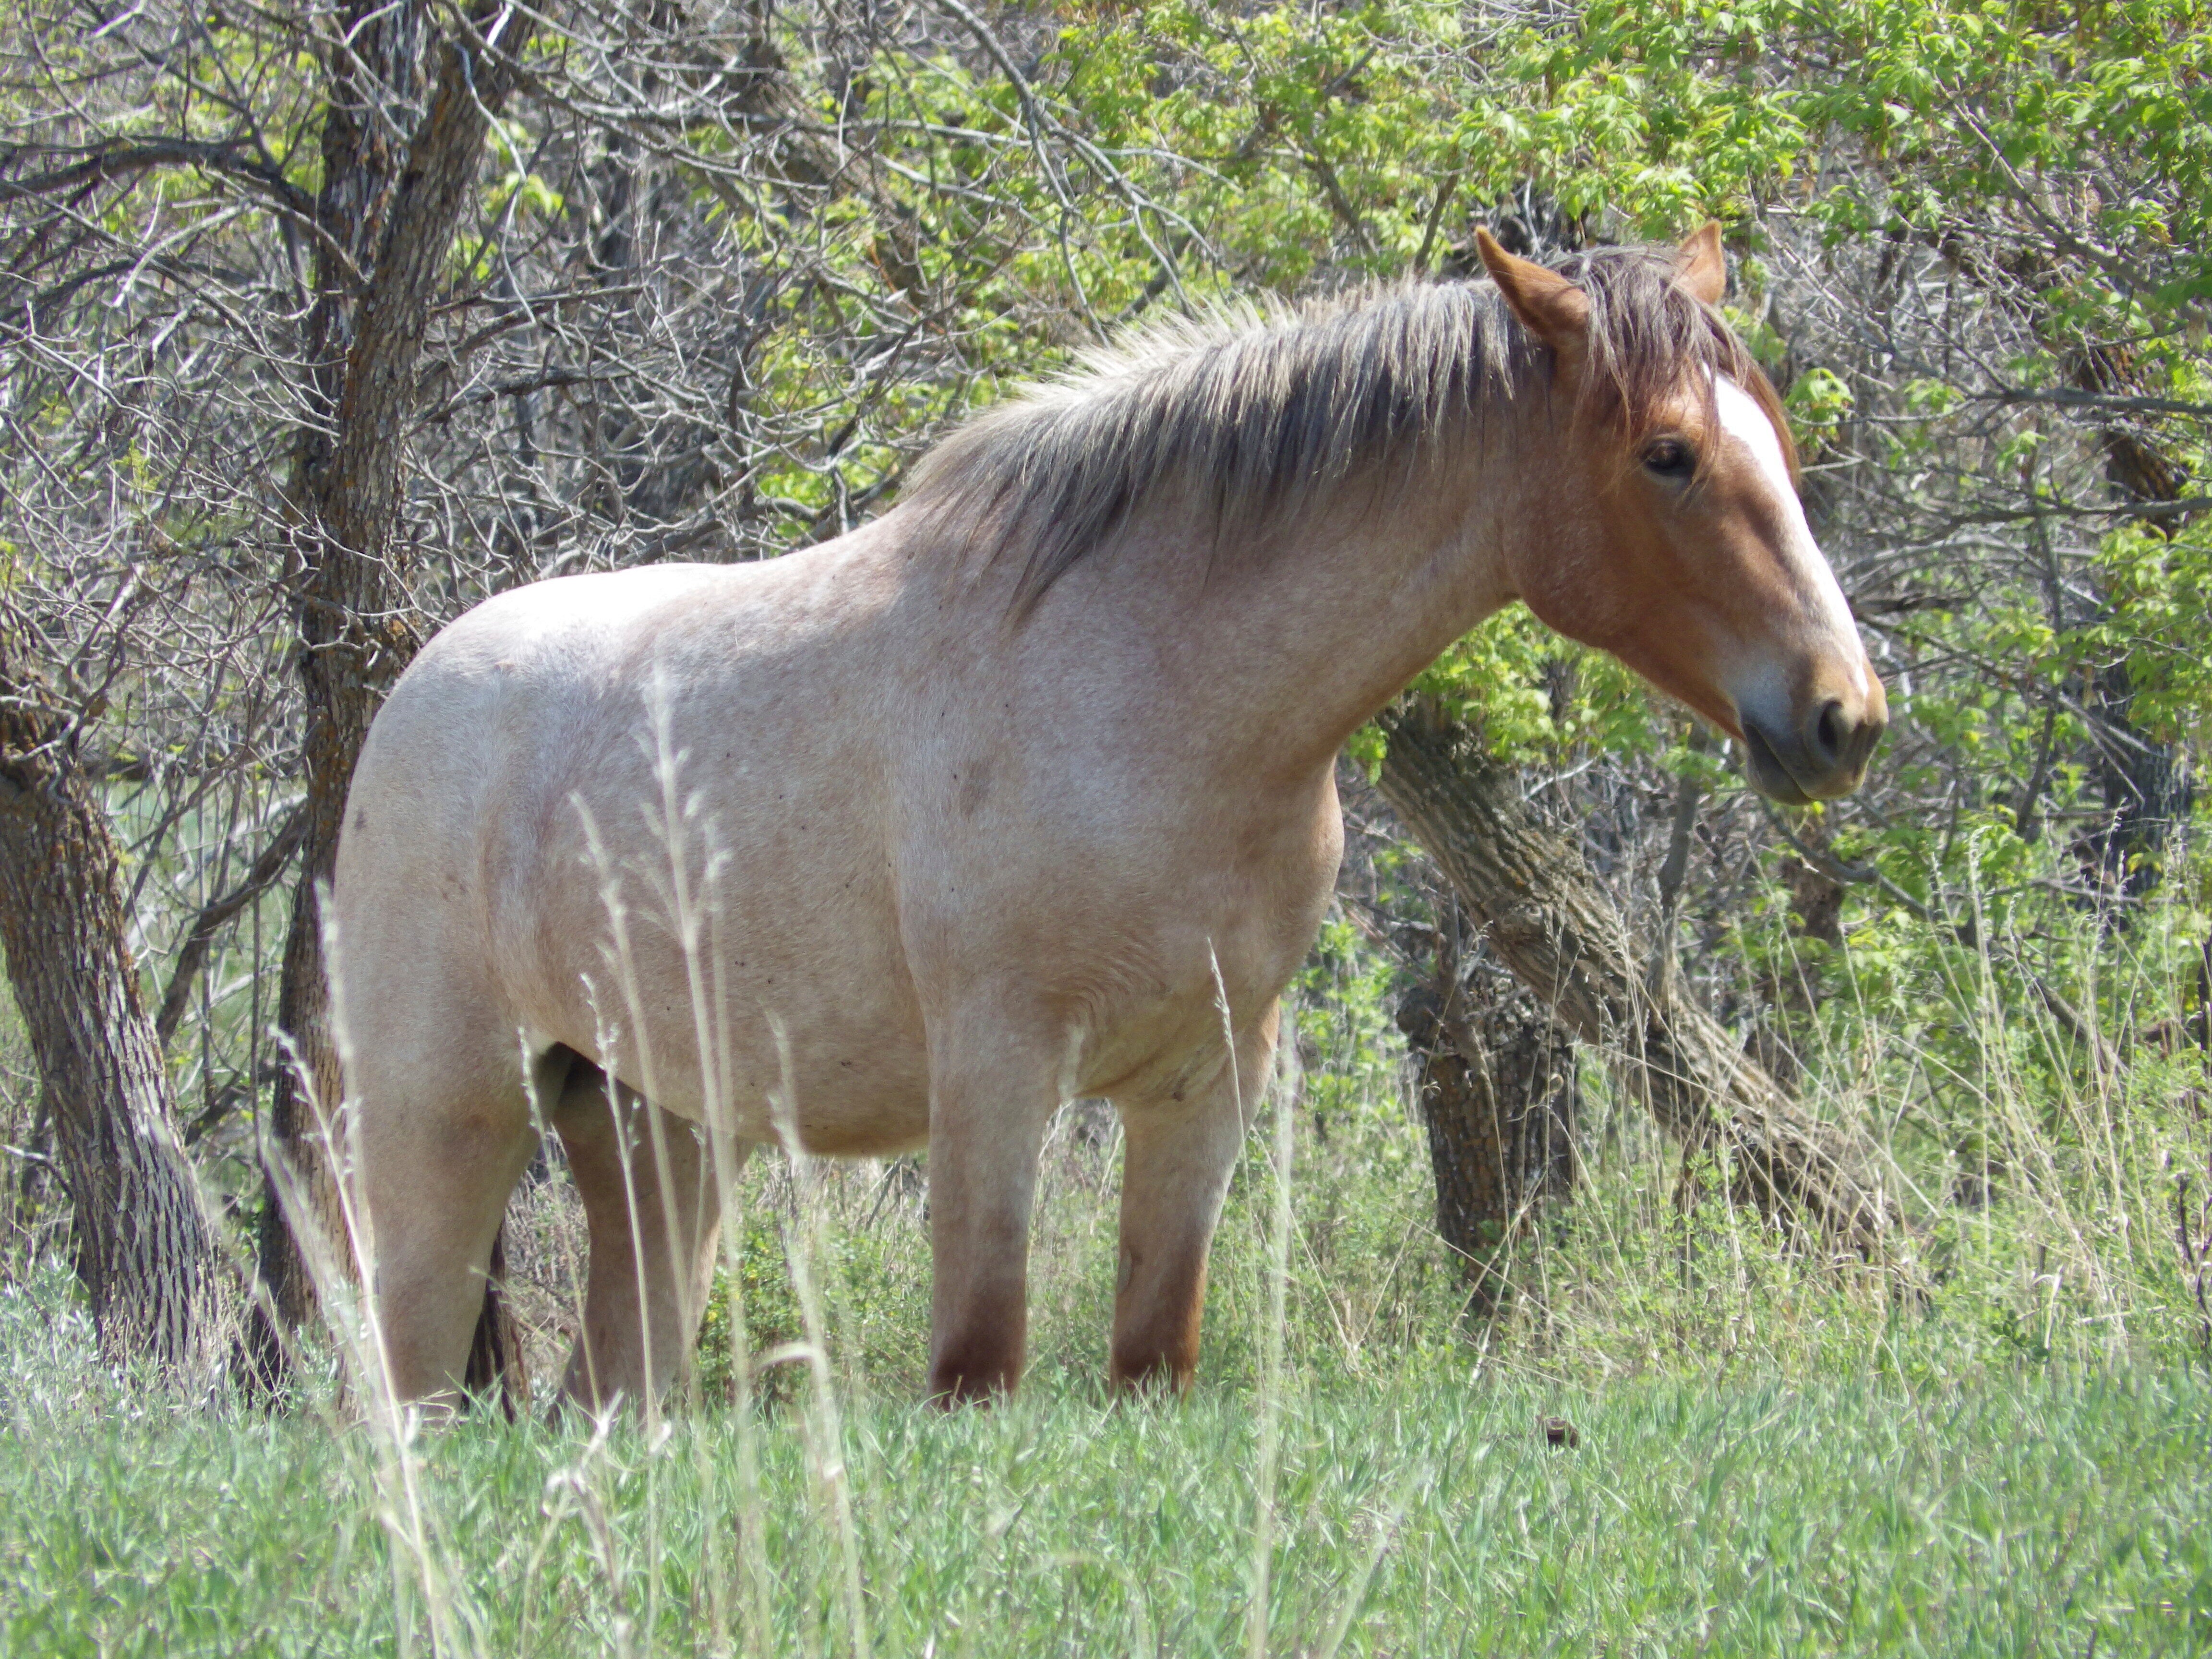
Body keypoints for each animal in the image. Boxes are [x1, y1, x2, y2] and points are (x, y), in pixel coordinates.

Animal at [327, 224, 1885, 1416]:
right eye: (1669, 454)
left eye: (1776, 439)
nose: (1842, 715)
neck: (1156, 692)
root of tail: (419, 687)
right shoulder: (998, 1074)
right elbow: (978, 1365)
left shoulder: (1205, 1082)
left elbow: (1152, 1359)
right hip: (443, 1130)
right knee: (404, 1391)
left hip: (661, 1145)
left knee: (606, 1394)